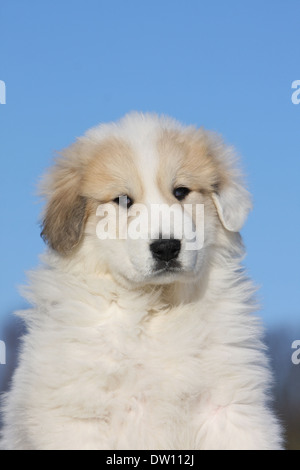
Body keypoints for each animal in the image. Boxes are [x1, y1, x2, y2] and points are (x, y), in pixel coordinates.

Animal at [0, 112, 282, 450]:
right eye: (123, 200)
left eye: (180, 192)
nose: (166, 247)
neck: (155, 306)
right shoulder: (80, 416)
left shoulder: (228, 408)